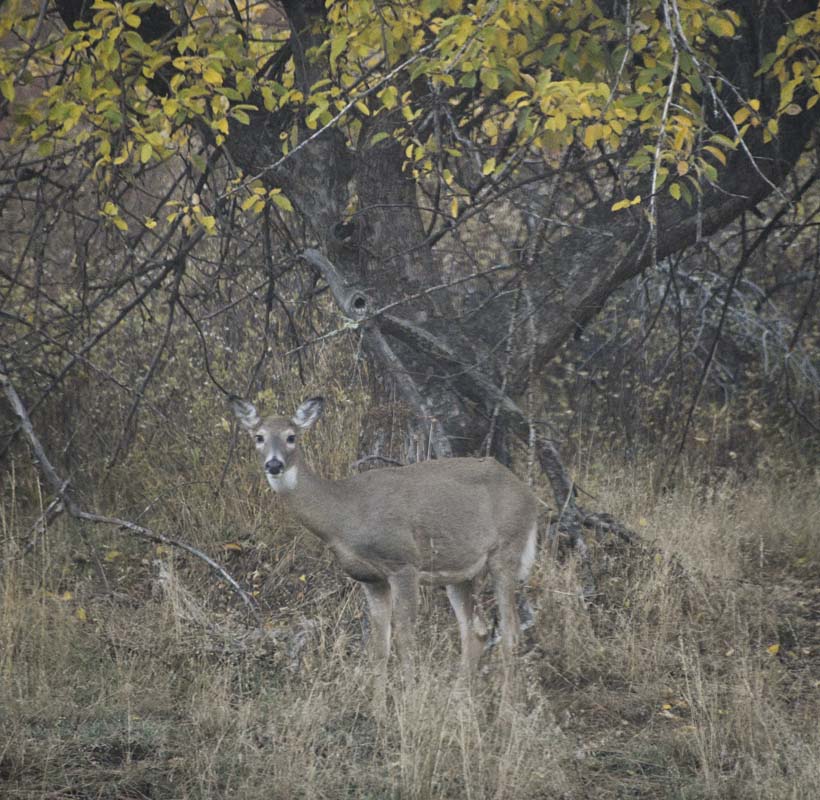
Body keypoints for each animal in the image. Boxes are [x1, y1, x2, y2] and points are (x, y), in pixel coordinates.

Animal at [230, 395, 539, 685]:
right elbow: (379, 647)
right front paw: (378, 705)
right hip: (461, 573)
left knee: (510, 631)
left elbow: (405, 641)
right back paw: (462, 696)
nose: (274, 464)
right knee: (477, 630)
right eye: (258, 437)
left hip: (507, 550)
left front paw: (410, 698)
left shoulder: (403, 563)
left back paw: (506, 703)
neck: (344, 514)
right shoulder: (371, 578)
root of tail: (528, 495)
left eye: (291, 436)